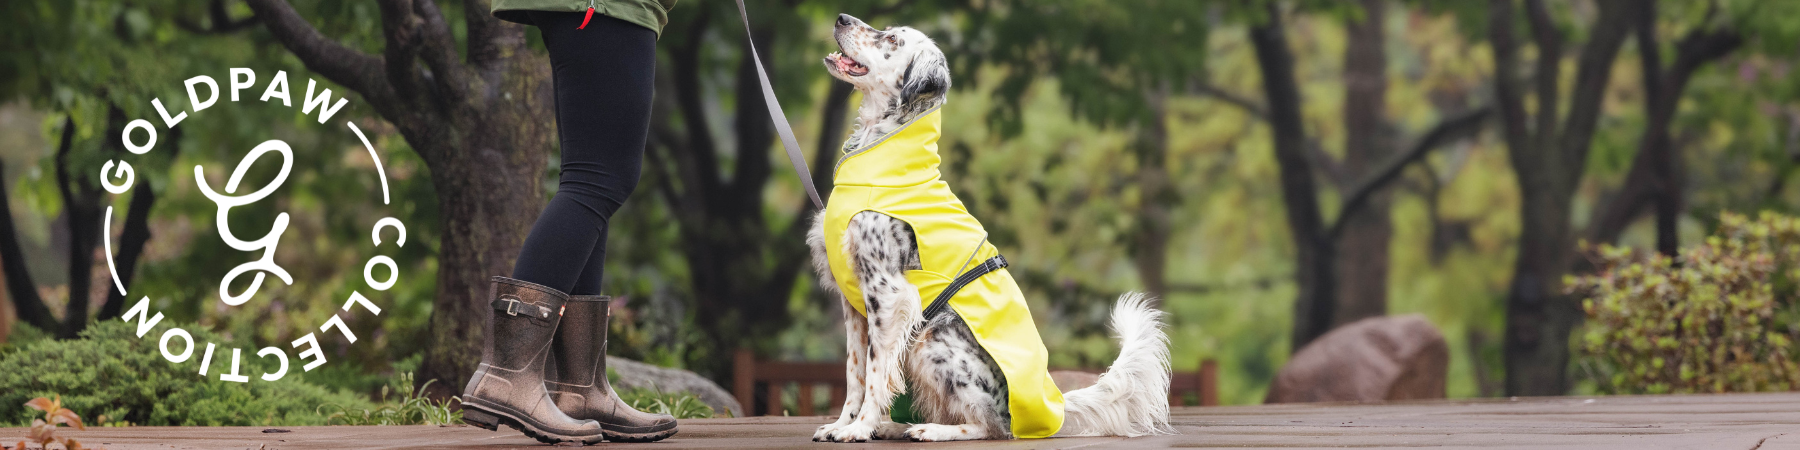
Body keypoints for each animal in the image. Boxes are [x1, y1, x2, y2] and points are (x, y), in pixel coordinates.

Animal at [806, 12, 1173, 441]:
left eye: (893, 39)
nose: (841, 18)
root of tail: (1056, 406)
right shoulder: (855, 303)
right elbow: (855, 373)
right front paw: (843, 423)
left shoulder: (888, 293)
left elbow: (877, 372)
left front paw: (859, 428)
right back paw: (895, 425)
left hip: (934, 338)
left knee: (992, 425)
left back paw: (928, 430)